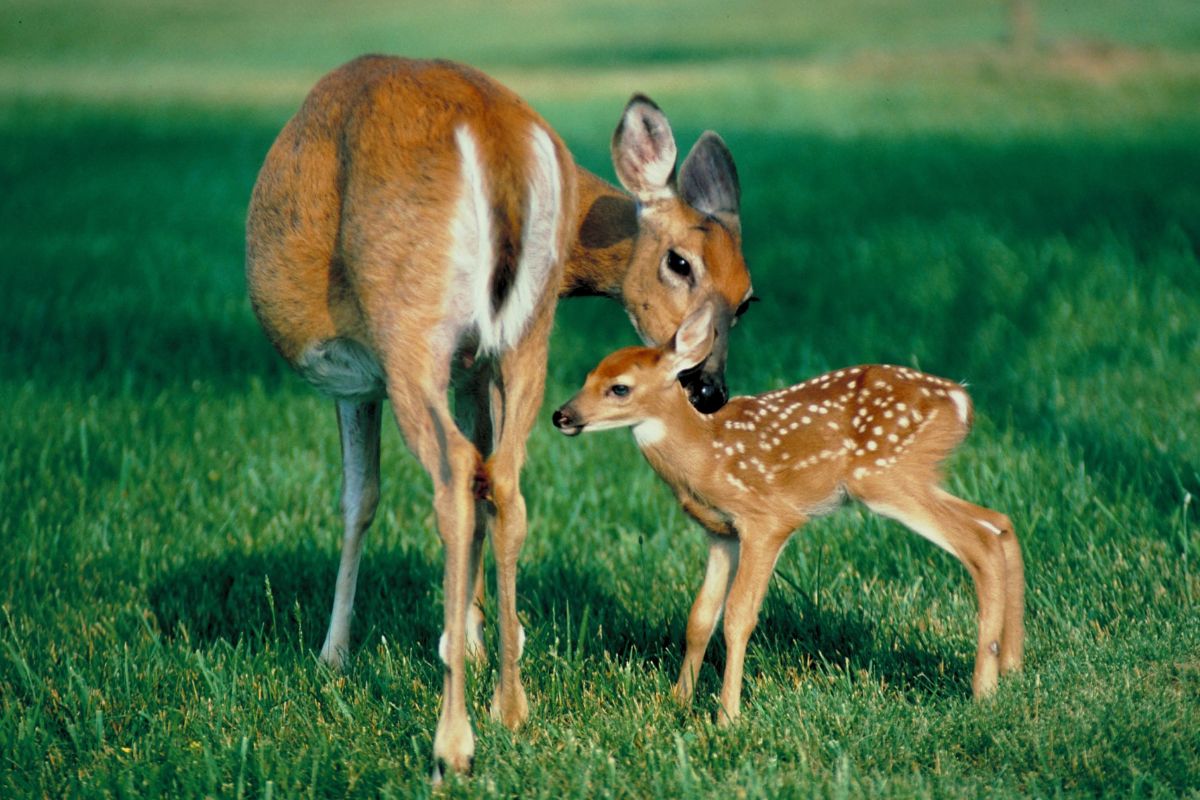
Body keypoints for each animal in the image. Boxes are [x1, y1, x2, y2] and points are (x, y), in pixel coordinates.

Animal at [245, 55, 753, 777]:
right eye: (680, 263)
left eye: (746, 298)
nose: (709, 388)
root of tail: (495, 142)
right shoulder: (477, 366)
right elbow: (476, 488)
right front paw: (478, 637)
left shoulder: (359, 381)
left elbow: (358, 501)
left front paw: (334, 655)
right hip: (527, 332)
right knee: (504, 478)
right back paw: (509, 705)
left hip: (411, 322)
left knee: (456, 476)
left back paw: (453, 741)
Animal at [552, 304, 1025, 721]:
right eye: (588, 376)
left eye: (620, 388)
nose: (561, 415)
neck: (706, 454)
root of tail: (961, 401)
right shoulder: (720, 532)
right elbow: (700, 617)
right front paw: (678, 701)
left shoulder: (767, 519)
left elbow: (738, 616)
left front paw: (727, 716)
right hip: (915, 476)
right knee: (1000, 523)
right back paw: (1013, 668)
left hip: (885, 475)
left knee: (980, 541)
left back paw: (983, 689)